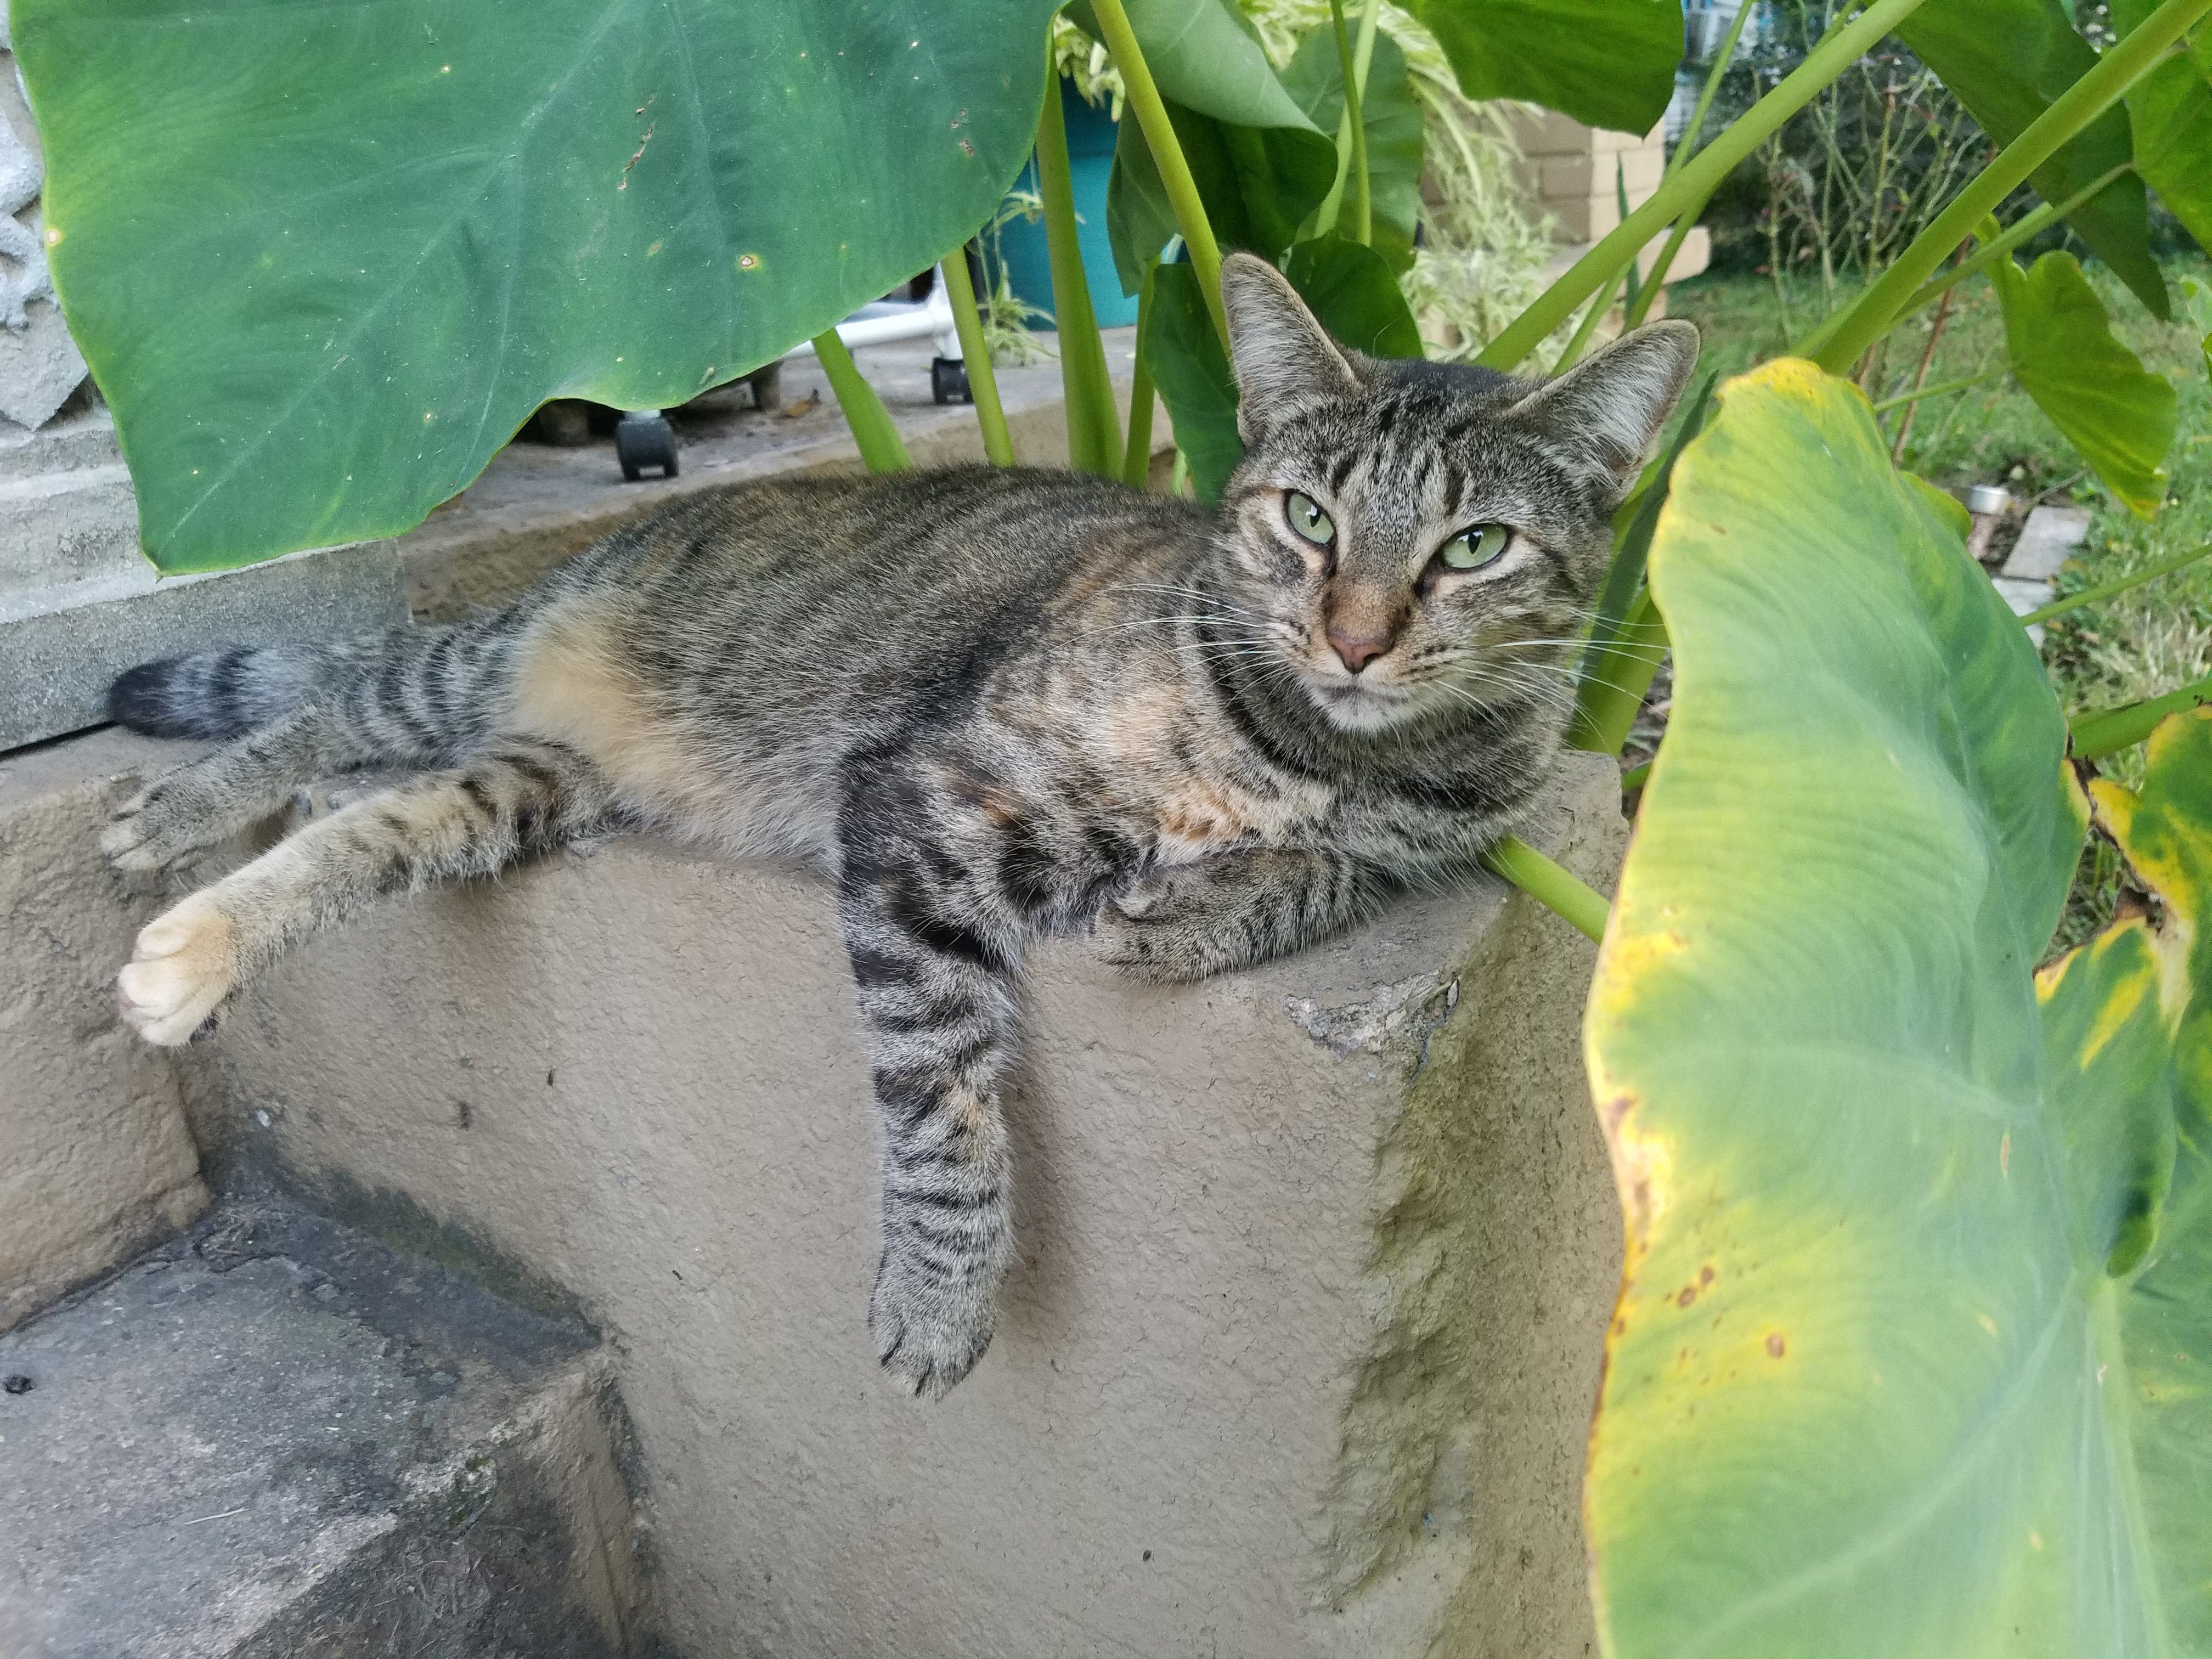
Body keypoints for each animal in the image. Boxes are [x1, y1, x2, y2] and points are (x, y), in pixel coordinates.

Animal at [99, 256, 1690, 1407]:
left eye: (1474, 548)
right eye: (1307, 519)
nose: (1357, 640)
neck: (1323, 749)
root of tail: (617, 544)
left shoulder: (1447, 827)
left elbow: (1330, 870)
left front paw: (1201, 908)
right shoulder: (927, 802)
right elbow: (945, 1096)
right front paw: (942, 1291)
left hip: (528, 784)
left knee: (372, 826)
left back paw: (193, 950)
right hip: (462, 678)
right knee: (316, 716)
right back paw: (165, 826)